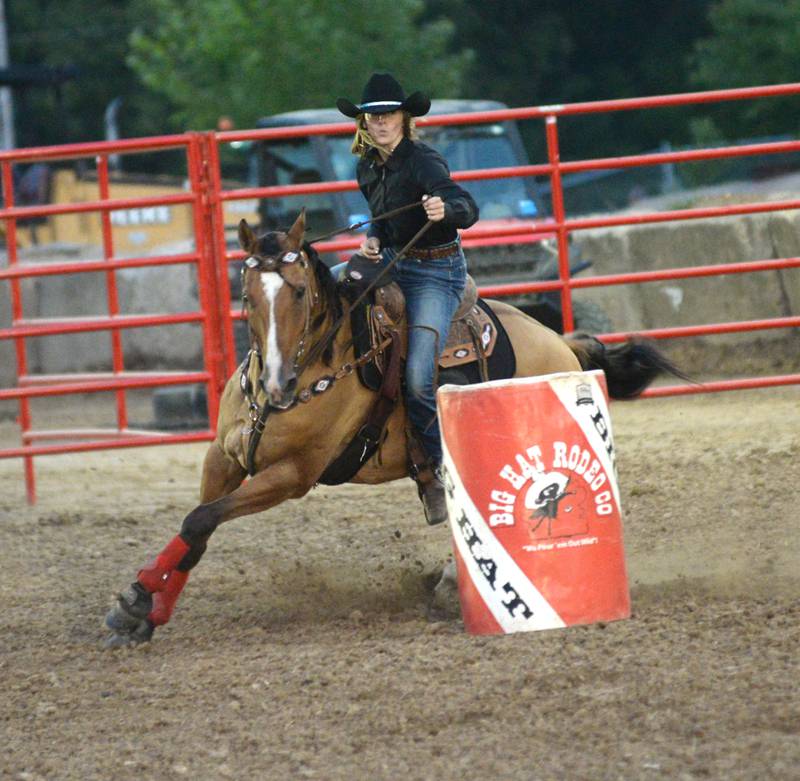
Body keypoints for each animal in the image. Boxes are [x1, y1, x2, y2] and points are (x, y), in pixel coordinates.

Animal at [104, 210, 680, 644]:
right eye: (246, 293)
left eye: (298, 293)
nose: (277, 382)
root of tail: (560, 341)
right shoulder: (223, 458)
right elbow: (196, 529)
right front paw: (142, 611)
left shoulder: (291, 476)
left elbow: (200, 520)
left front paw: (137, 600)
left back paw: (449, 585)